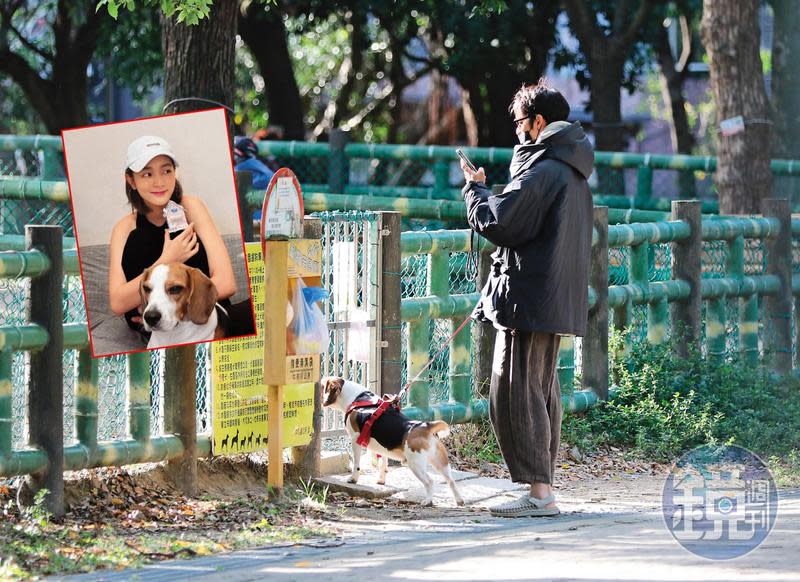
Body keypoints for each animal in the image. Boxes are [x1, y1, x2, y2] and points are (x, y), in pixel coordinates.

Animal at [322, 378, 466, 506]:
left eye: (322, 386)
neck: (358, 398)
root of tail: (426, 426)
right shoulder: (382, 447)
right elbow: (383, 464)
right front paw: (381, 480)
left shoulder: (355, 440)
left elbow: (356, 465)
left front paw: (353, 479)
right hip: (441, 463)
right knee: (451, 481)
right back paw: (459, 501)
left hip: (416, 465)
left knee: (429, 482)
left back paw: (428, 501)